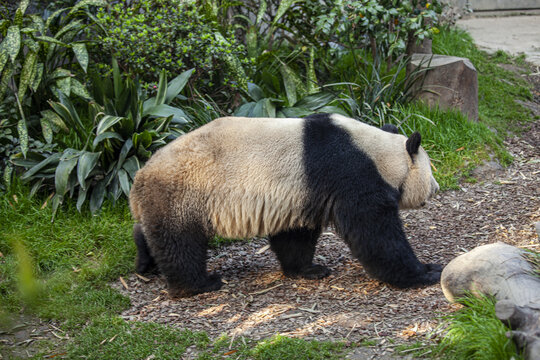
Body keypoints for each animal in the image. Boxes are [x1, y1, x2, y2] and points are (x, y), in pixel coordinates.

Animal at [129, 113, 440, 298]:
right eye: (431, 171)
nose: (435, 189)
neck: (378, 153)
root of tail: (138, 178)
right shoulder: (349, 172)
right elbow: (374, 232)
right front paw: (425, 271)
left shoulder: (300, 192)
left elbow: (295, 235)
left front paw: (308, 270)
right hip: (182, 193)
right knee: (180, 243)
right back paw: (197, 285)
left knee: (154, 232)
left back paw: (145, 261)